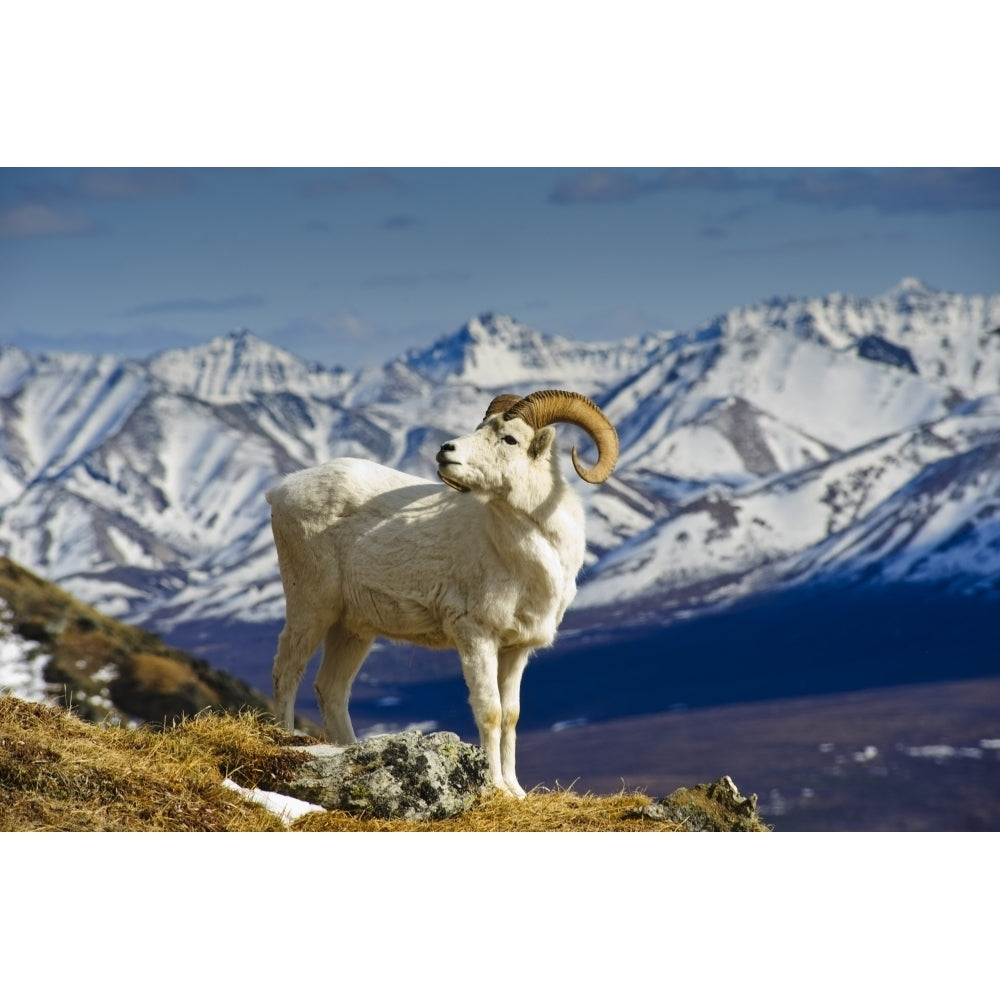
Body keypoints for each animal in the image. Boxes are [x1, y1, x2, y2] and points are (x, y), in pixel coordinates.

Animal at [266, 388, 616, 796]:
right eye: (482, 427)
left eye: (509, 439)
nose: (445, 450)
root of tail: (280, 491)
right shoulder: (476, 636)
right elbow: (490, 711)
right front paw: (495, 787)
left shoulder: (516, 650)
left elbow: (511, 717)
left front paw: (516, 791)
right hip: (311, 606)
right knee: (287, 671)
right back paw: (288, 741)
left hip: (352, 629)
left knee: (331, 689)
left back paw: (350, 752)